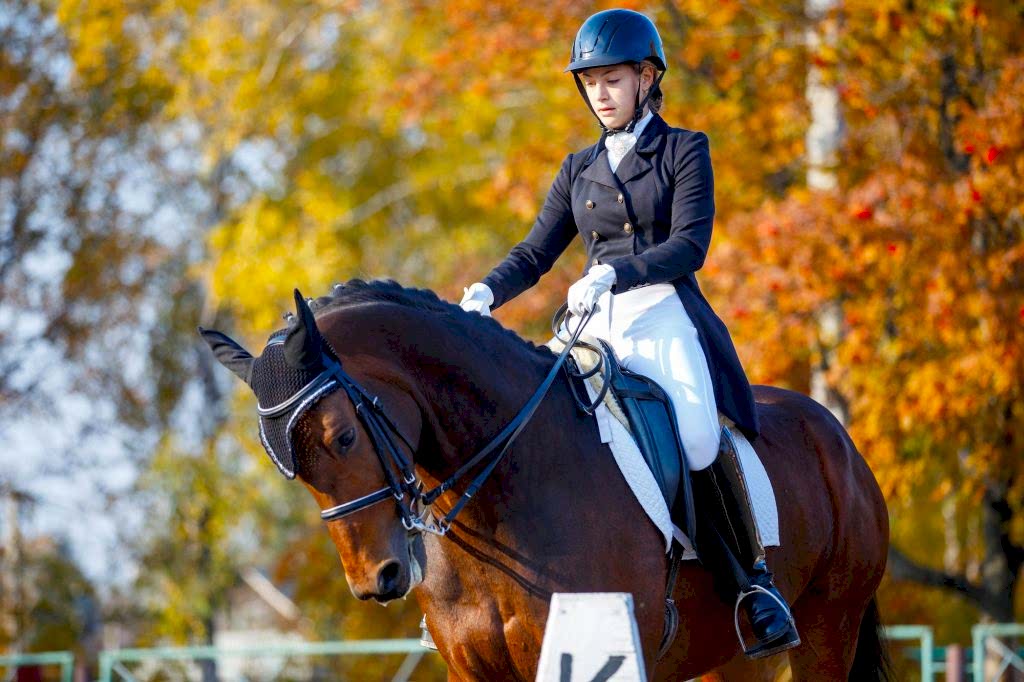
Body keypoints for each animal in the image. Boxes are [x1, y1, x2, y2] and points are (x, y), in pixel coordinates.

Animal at [200, 279, 890, 681]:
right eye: (286, 466)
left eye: (342, 437)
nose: (379, 580)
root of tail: (836, 438)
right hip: (728, 656)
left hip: (828, 629)